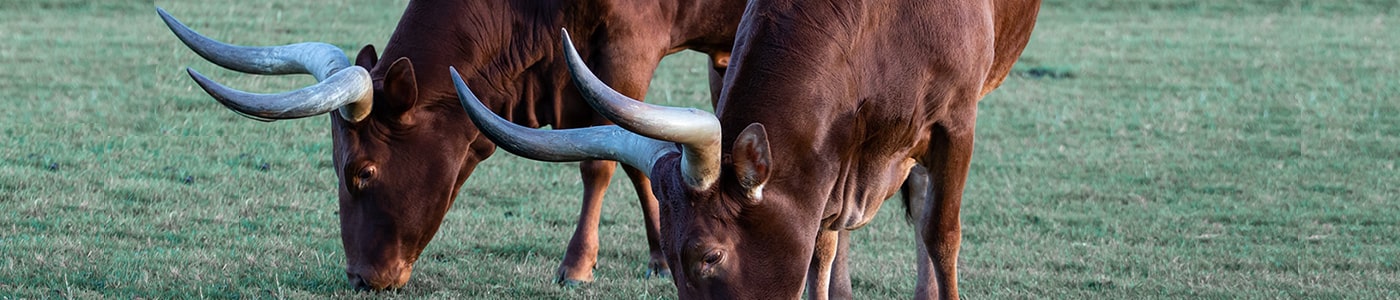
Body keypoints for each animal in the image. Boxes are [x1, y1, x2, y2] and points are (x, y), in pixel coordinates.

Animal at [156, 0, 744, 290]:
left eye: (361, 173)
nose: (361, 280)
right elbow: (641, 159)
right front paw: (660, 254)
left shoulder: (625, 50)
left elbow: (608, 158)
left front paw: (579, 265)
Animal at [456, 0, 1041, 297]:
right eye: (668, 260)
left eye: (711, 255)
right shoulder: (829, 159)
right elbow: (820, 249)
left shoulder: (957, 125)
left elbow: (942, 236)